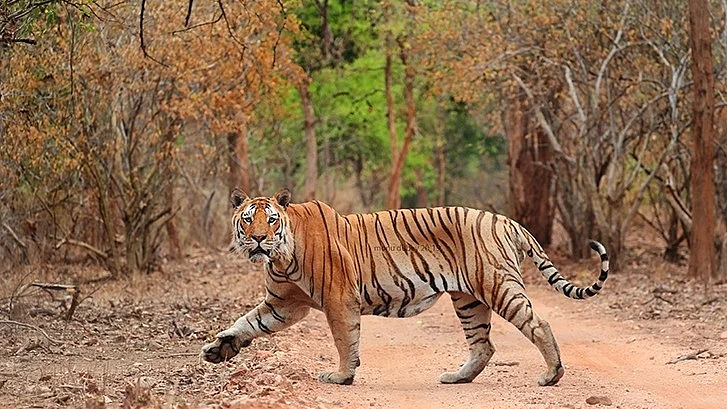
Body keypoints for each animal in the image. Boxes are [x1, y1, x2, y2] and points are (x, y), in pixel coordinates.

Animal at [201, 188, 608, 387]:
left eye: (270, 220)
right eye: (247, 220)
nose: (257, 239)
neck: (281, 257)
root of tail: (507, 221)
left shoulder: (338, 299)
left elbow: (345, 340)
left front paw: (342, 377)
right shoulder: (284, 304)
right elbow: (247, 322)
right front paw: (219, 349)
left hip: (497, 285)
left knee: (538, 325)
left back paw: (552, 376)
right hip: (468, 299)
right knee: (483, 345)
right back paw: (457, 378)